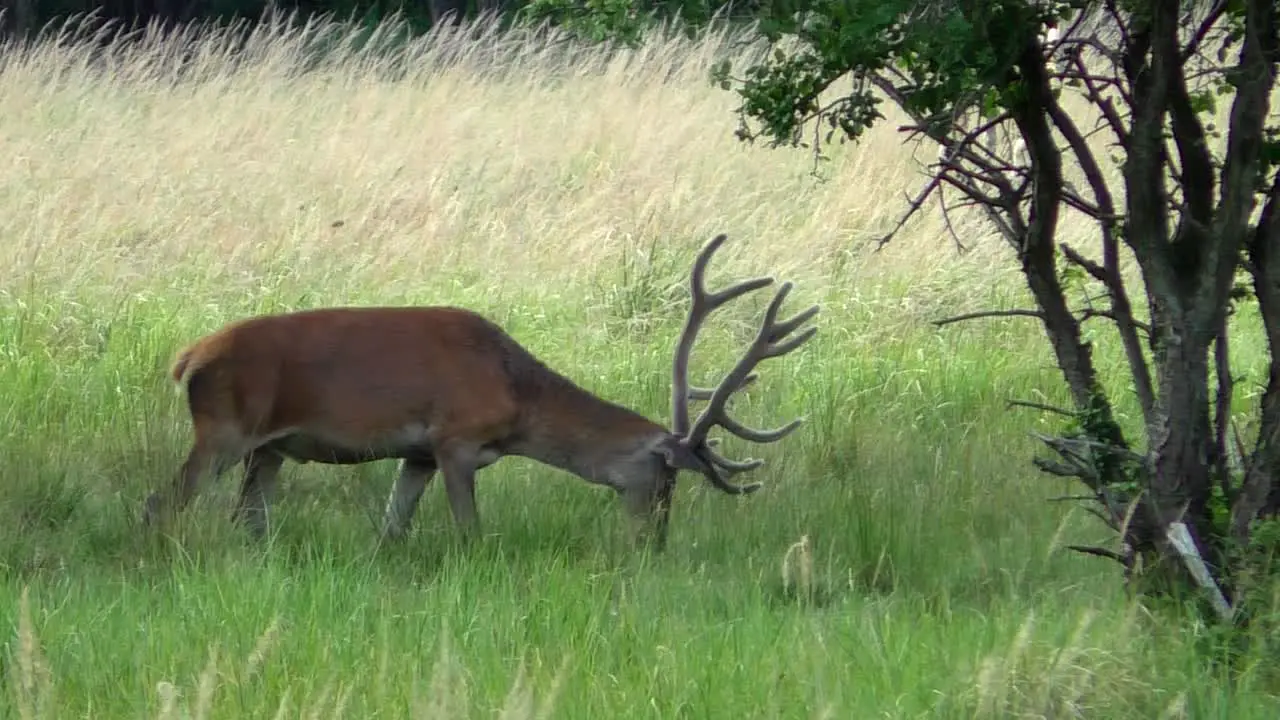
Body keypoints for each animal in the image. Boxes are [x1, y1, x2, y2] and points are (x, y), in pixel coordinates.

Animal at [142, 233, 819, 545]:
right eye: (664, 476)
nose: (654, 540)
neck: (518, 398)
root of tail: (188, 358)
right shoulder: (456, 438)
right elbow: (471, 531)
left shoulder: (417, 454)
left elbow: (392, 531)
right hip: (224, 428)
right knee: (163, 501)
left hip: (270, 449)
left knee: (248, 517)